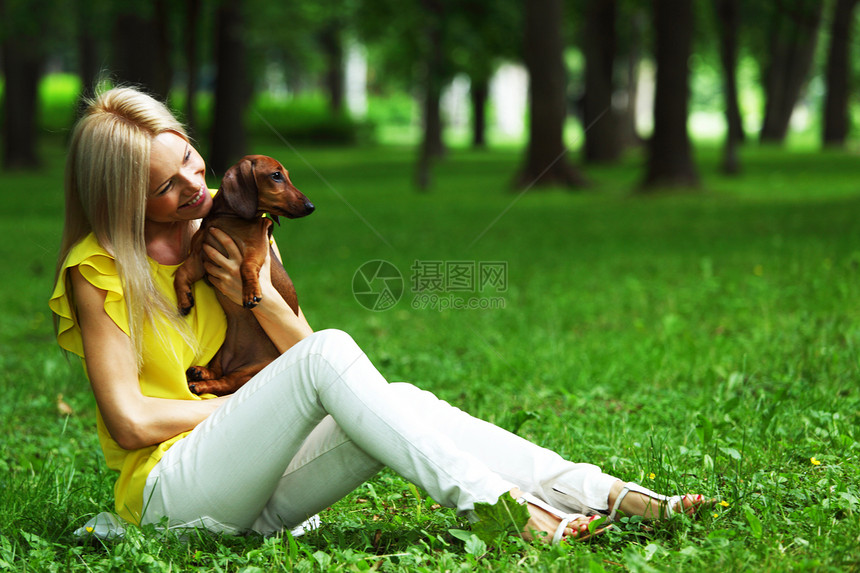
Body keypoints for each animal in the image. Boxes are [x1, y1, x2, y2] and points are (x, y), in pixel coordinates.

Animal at [172, 154, 316, 396]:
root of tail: (235, 363)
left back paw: (199, 383)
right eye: (276, 175)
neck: (228, 218)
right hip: (222, 353)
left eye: (285, 175)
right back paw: (201, 373)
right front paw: (184, 300)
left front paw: (251, 293)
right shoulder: (200, 257)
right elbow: (181, 273)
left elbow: (246, 267)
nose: (311, 206)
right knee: (219, 373)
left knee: (225, 383)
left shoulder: (255, 249)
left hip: (250, 373)